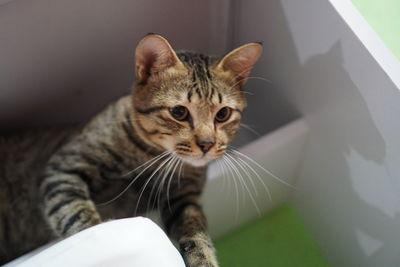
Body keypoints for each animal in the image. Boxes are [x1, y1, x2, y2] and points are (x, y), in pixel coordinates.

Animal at [0, 33, 262, 266]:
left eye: (223, 114)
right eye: (179, 112)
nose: (207, 144)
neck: (154, 158)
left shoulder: (185, 198)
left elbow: (197, 238)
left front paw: (203, 259)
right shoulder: (65, 166)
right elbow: (78, 216)